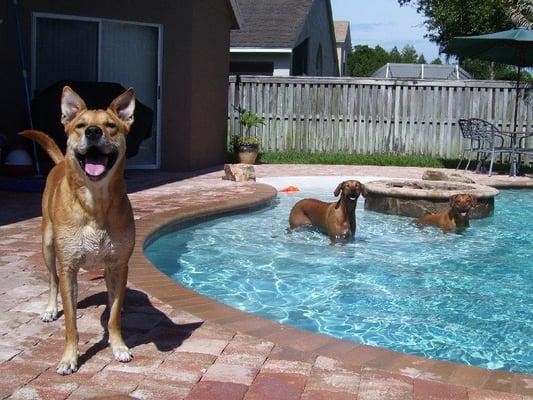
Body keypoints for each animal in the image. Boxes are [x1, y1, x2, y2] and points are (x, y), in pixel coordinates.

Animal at [20, 85, 137, 376]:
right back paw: (51, 309)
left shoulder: (119, 264)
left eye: (110, 125)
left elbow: (114, 315)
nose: (93, 132)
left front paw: (118, 346)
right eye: (81, 125)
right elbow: (71, 324)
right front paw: (69, 358)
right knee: (52, 280)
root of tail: (60, 162)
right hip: (48, 246)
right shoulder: (69, 267)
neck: (95, 203)